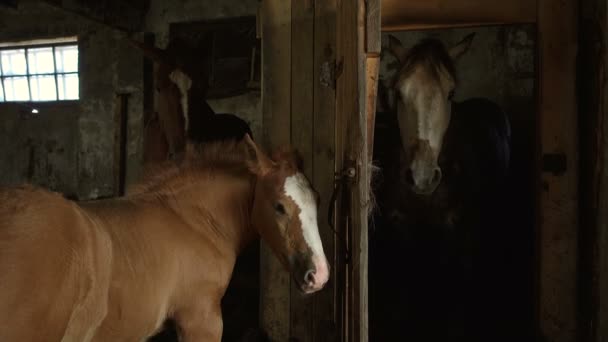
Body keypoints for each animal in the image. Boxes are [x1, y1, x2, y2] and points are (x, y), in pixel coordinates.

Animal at [368, 33, 510, 340]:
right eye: (399, 93)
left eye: (450, 93)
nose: (422, 176)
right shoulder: (401, 231)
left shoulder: (457, 236)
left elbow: (453, 298)